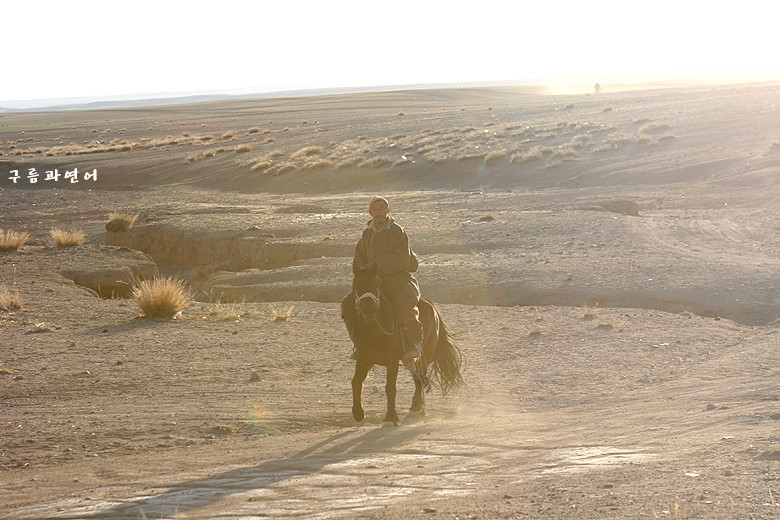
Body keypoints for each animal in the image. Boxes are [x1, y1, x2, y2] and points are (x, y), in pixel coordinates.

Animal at [342, 266, 464, 424]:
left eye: (377, 283)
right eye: (357, 285)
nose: (369, 309)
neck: (374, 331)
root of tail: (430, 305)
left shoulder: (392, 361)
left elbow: (390, 388)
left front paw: (390, 417)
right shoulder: (365, 359)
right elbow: (356, 381)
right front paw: (358, 414)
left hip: (423, 355)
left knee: (420, 378)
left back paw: (416, 408)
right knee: (418, 378)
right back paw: (418, 408)